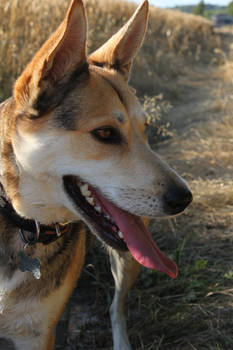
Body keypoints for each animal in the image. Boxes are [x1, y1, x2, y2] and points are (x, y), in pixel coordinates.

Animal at [0, 1, 192, 348]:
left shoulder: (35, 335)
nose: (184, 199)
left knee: (117, 307)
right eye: (105, 133)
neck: (22, 224)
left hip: (129, 259)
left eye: (145, 129)